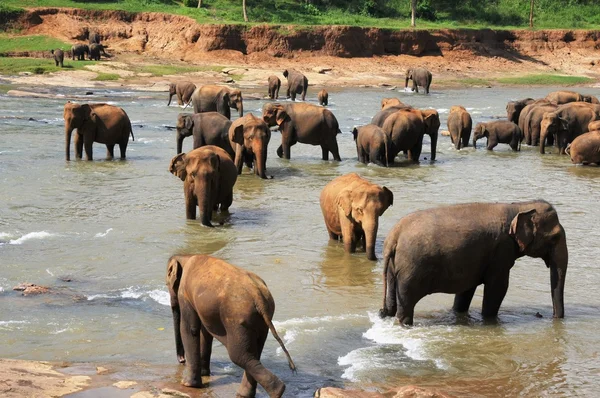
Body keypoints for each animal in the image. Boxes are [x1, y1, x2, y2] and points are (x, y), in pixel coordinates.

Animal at [165, 253, 296, 396]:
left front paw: (188, 385)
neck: (186, 256)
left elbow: (190, 329)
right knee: (253, 353)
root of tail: (258, 295)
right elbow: (205, 331)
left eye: (167, 284)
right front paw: (204, 374)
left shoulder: (184, 293)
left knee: (238, 355)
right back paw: (248, 394)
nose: (182, 360)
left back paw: (277, 391)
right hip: (261, 321)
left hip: (238, 320)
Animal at [380, 201, 568, 324]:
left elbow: (466, 289)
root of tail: (394, 236)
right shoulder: (501, 250)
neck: (519, 206)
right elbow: (498, 288)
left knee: (392, 301)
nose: (551, 317)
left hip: (393, 267)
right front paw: (489, 320)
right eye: (555, 238)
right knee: (407, 302)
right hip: (410, 270)